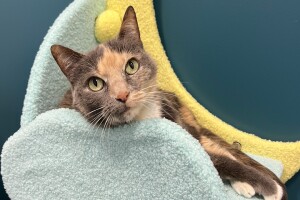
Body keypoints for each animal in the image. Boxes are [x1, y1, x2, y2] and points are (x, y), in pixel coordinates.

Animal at [50, 5, 288, 199]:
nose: (122, 95)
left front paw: (268, 186)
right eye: (95, 84)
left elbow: (220, 158)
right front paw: (269, 186)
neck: (143, 117)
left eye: (131, 66)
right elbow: (215, 161)